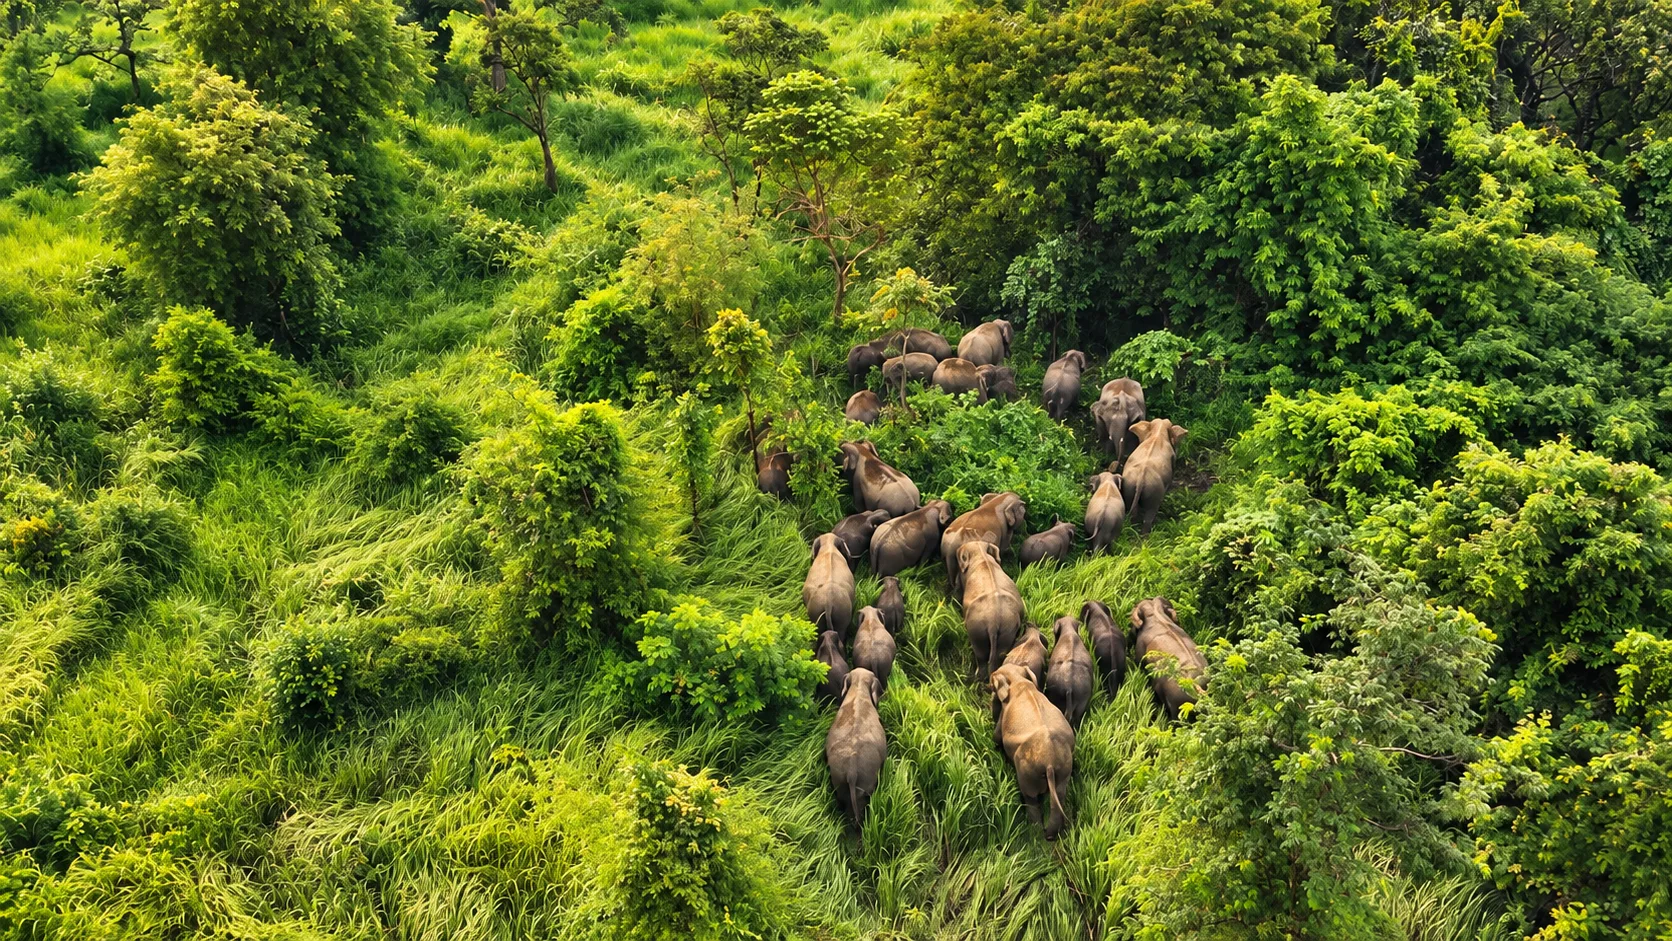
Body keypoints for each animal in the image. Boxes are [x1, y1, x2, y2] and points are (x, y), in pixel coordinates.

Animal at [957, 541, 1024, 678]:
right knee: (1000, 654)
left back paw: (978, 676)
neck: (981, 554)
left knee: (980, 655)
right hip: (1008, 630)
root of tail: (993, 621)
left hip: (975, 629)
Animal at [989, 663, 1075, 840]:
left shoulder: (1004, 713)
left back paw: (1035, 832)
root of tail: (1049, 763)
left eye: (992, 677)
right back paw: (1049, 835)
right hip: (1064, 769)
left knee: (1030, 797)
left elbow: (997, 736)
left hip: (1026, 771)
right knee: (1059, 796)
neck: (1019, 680)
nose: (987, 686)